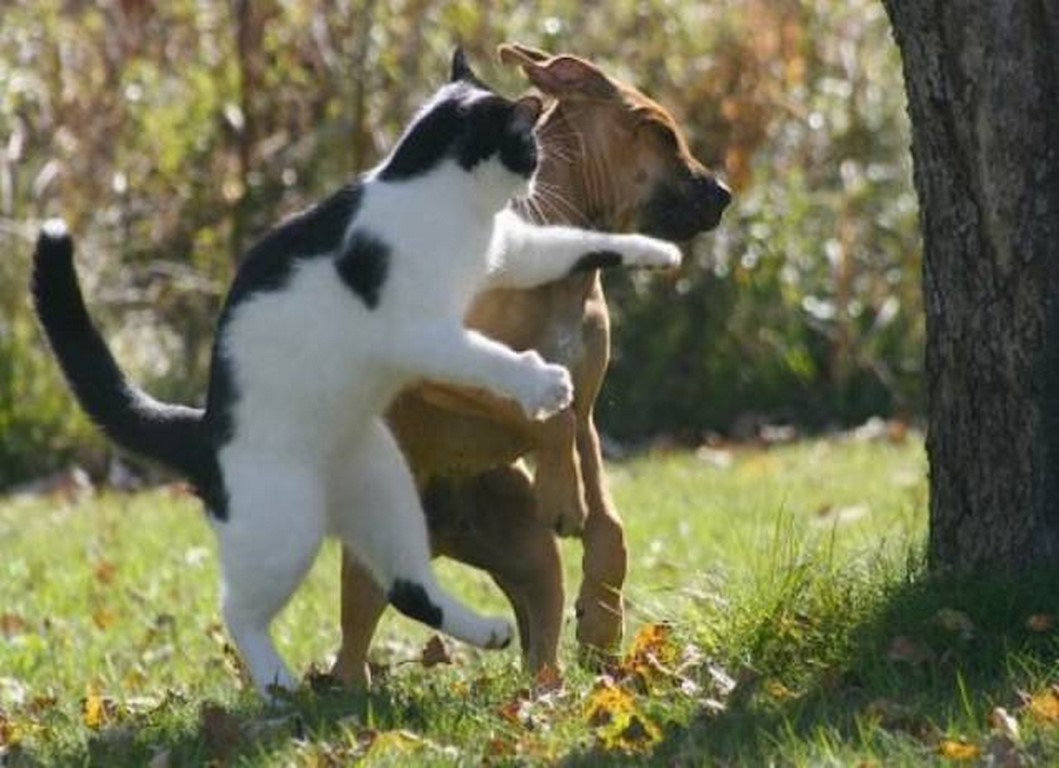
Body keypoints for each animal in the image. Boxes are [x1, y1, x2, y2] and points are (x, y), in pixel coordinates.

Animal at [33, 49, 681, 694]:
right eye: (528, 149)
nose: (535, 177)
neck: (436, 193)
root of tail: (202, 429)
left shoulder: (509, 253)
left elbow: (575, 243)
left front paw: (654, 252)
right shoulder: (423, 333)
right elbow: (490, 358)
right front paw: (544, 381)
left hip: (384, 488)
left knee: (407, 584)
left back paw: (484, 631)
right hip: (285, 526)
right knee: (238, 611)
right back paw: (280, 684)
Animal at [330, 45, 728, 686]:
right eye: (661, 133)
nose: (724, 193)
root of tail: (440, 530)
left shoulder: (589, 411)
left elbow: (608, 524)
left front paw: (603, 621)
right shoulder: (441, 373)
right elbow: (546, 415)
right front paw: (564, 496)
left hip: (528, 551)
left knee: (540, 632)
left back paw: (551, 689)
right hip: (373, 561)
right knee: (354, 638)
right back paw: (344, 692)